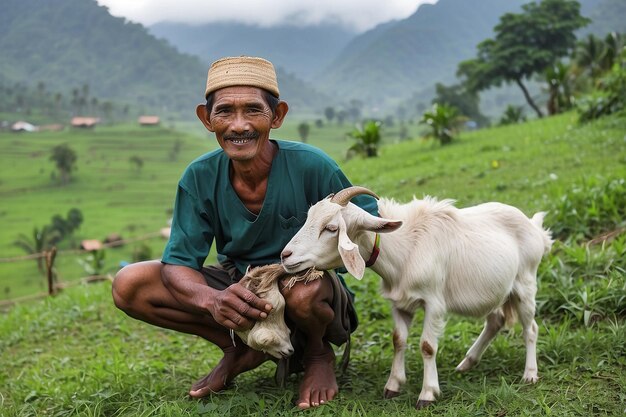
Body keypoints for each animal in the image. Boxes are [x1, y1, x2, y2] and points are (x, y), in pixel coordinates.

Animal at [280, 185, 548, 406]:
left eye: (331, 228)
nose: (285, 255)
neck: (407, 247)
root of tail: (535, 227)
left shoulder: (434, 302)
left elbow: (427, 346)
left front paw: (427, 394)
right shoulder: (399, 303)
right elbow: (398, 340)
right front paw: (393, 385)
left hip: (525, 284)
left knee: (530, 328)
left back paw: (530, 374)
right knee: (495, 320)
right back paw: (467, 363)